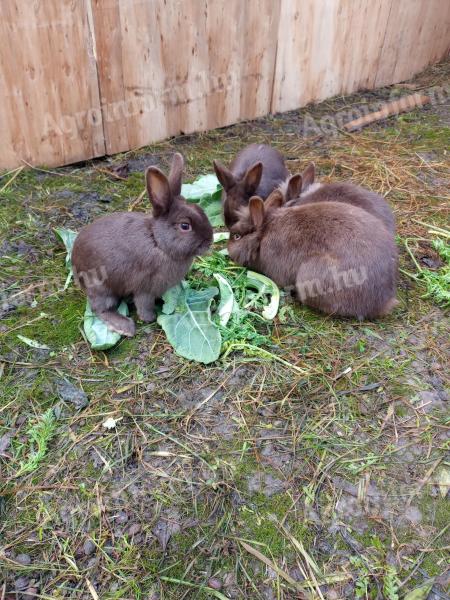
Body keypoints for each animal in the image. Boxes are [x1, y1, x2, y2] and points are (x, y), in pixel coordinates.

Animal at [73, 152, 214, 338]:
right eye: (185, 226)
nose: (210, 241)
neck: (158, 242)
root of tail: (74, 264)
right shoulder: (144, 288)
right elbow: (143, 305)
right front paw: (150, 318)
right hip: (101, 287)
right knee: (101, 309)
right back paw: (125, 326)